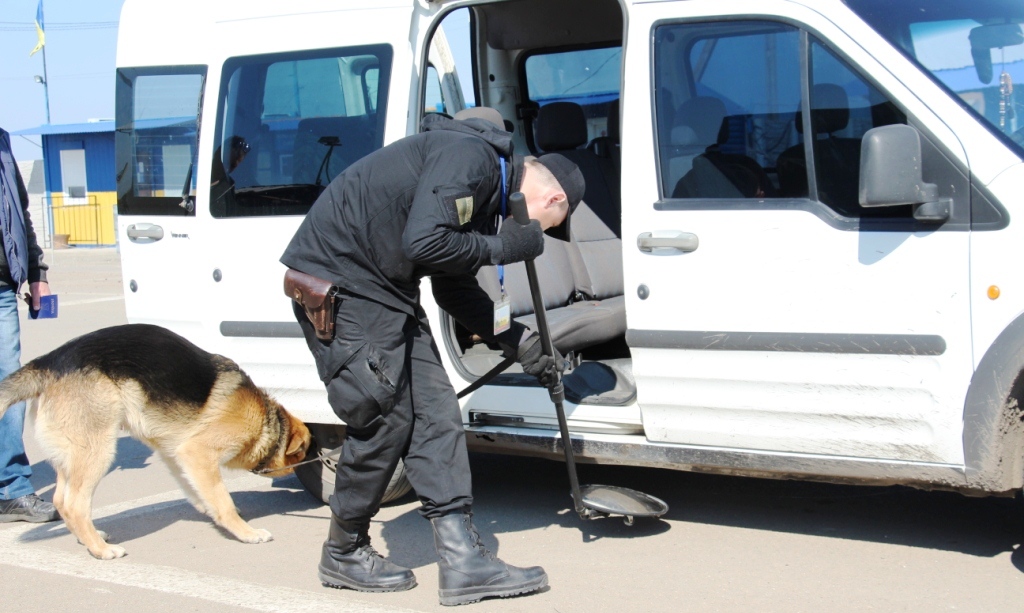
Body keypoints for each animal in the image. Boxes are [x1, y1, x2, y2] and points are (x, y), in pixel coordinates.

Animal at [0, 325, 311, 560]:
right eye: (303, 453)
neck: (266, 420)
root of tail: (48, 362)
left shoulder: (177, 456)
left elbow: (201, 493)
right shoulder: (197, 452)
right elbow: (222, 501)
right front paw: (245, 532)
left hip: (73, 455)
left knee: (61, 501)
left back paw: (89, 538)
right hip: (98, 452)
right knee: (75, 504)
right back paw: (101, 550)